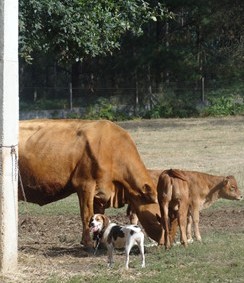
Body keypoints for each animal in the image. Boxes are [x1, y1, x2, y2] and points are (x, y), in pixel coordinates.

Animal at [18, 120, 164, 248]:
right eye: (158, 218)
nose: (163, 242)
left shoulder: (101, 192)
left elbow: (100, 216)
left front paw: (101, 243)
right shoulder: (85, 184)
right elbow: (87, 215)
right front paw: (87, 242)